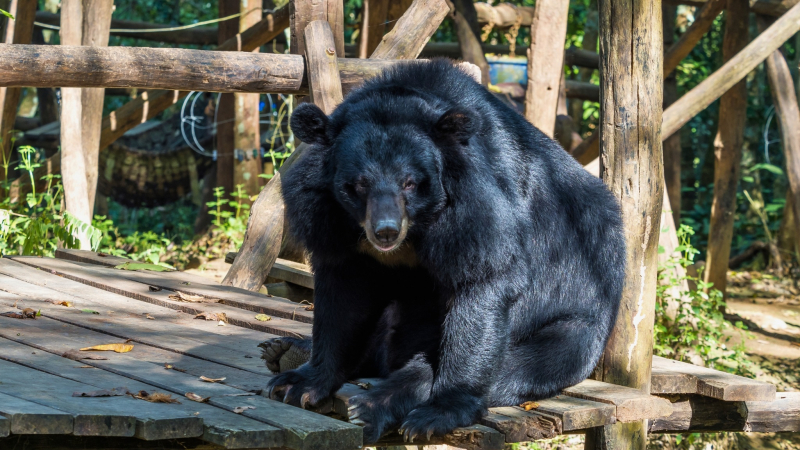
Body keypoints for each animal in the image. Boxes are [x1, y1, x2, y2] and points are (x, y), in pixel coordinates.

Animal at [265, 59, 626, 444]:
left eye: (410, 182)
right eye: (358, 184)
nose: (385, 230)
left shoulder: (479, 205)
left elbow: (482, 283)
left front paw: (438, 412)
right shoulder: (331, 225)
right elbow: (343, 295)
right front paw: (301, 383)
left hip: (577, 313)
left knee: (529, 361)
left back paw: (377, 403)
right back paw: (285, 351)